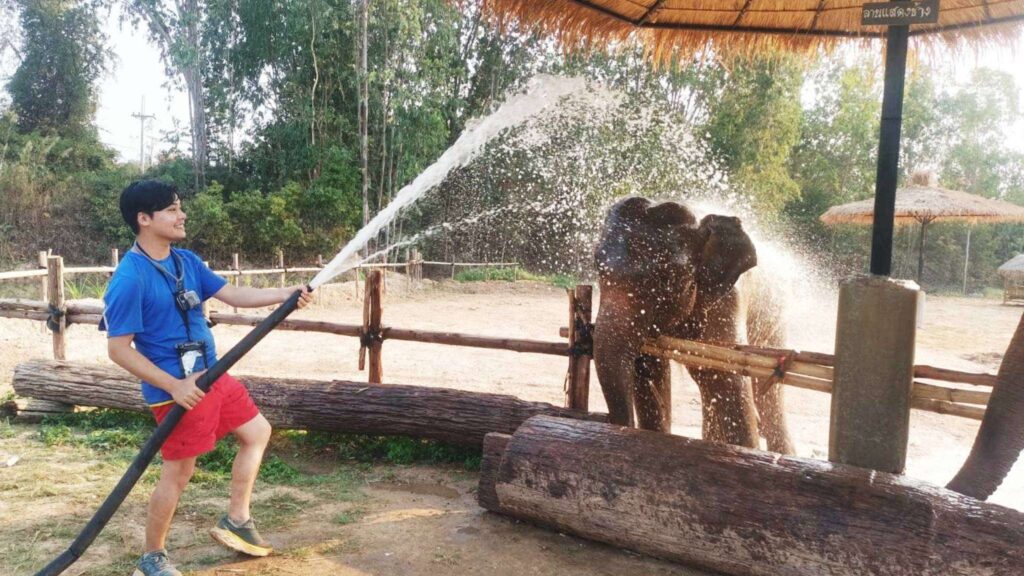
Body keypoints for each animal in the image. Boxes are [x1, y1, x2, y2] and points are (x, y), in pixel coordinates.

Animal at [592, 196, 794, 454]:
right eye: (598, 270)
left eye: (666, 279)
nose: (621, 427)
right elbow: (650, 368)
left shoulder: (728, 300)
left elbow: (730, 377)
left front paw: (746, 451)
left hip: (774, 320)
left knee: (767, 394)